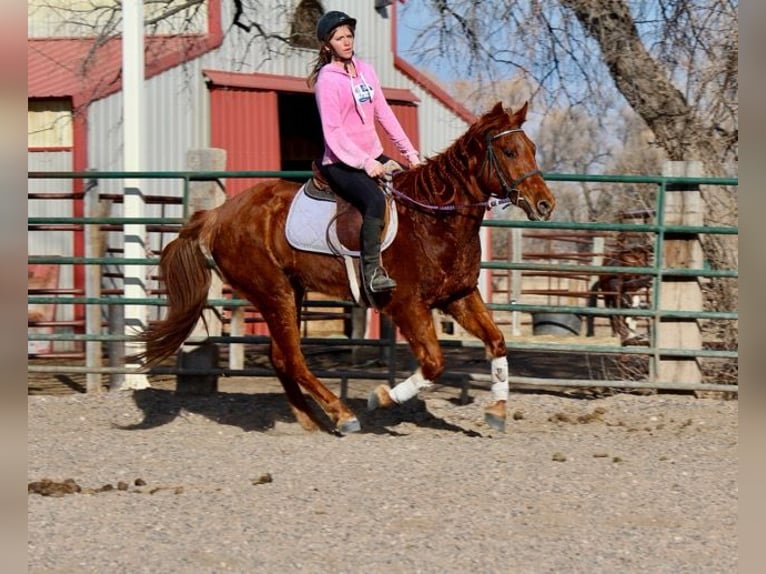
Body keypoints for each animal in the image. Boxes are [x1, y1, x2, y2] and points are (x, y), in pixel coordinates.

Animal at [140, 103, 560, 434]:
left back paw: (310, 418)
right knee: (293, 358)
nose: (545, 204)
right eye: (509, 150)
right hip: (273, 291)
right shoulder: (407, 306)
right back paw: (342, 414)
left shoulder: (458, 297)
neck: (433, 220)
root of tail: (218, 214)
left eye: (532, 149)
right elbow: (434, 363)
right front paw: (382, 397)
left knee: (281, 358)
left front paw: (498, 409)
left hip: (289, 291)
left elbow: (497, 341)